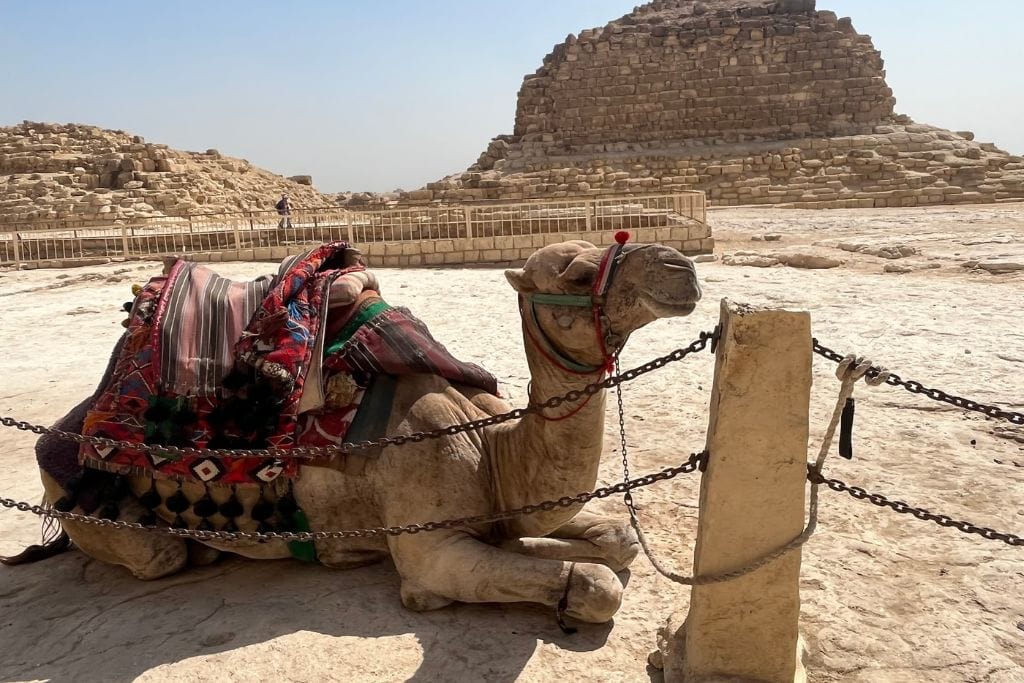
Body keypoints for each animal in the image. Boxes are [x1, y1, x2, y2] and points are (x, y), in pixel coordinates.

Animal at [31, 238, 701, 624]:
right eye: (576, 272)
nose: (681, 266)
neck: (491, 446)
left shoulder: (498, 512)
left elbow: (617, 538)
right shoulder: (432, 547)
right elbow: (595, 584)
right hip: (99, 513)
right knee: (160, 553)